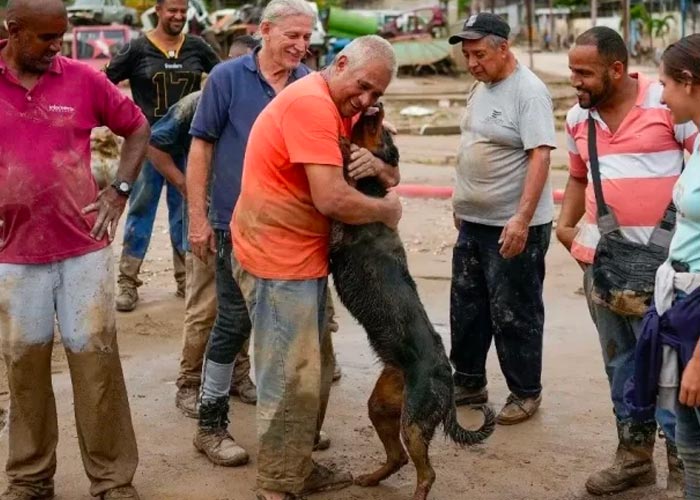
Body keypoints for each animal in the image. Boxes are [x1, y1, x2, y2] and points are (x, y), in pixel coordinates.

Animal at [330, 105, 494, 500]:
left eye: (387, 135)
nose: (378, 106)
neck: (372, 189)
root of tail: (447, 379)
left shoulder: (338, 230)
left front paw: (345, 147)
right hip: (383, 406)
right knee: (398, 457)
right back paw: (371, 477)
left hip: (415, 422)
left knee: (426, 472)